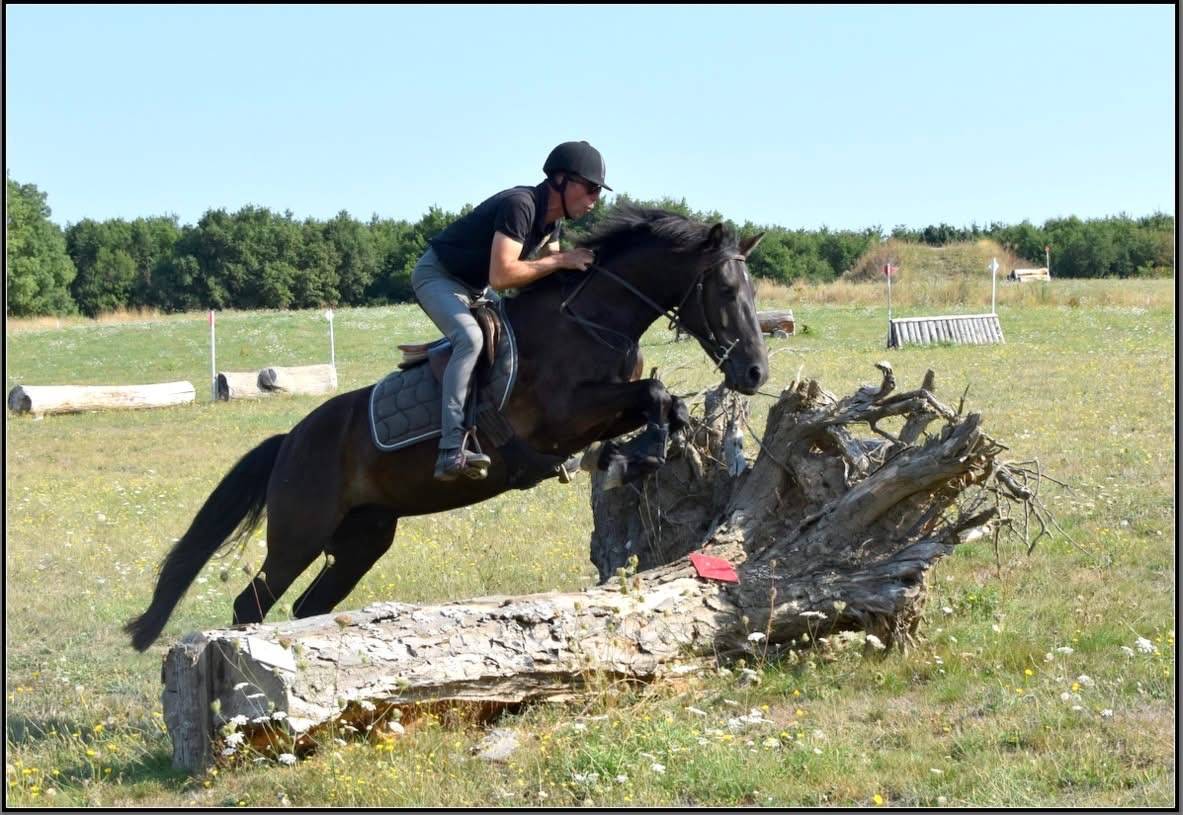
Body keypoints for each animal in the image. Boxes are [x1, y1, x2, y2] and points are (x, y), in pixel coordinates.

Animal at [125, 205, 769, 651]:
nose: (755, 372)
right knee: (250, 604)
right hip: (299, 534)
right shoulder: (560, 418)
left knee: (309, 605)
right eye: (725, 290)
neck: (590, 321)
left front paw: (629, 457)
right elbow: (654, 396)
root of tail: (289, 443)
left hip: (364, 538)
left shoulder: (602, 408)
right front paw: (626, 460)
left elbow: (664, 406)